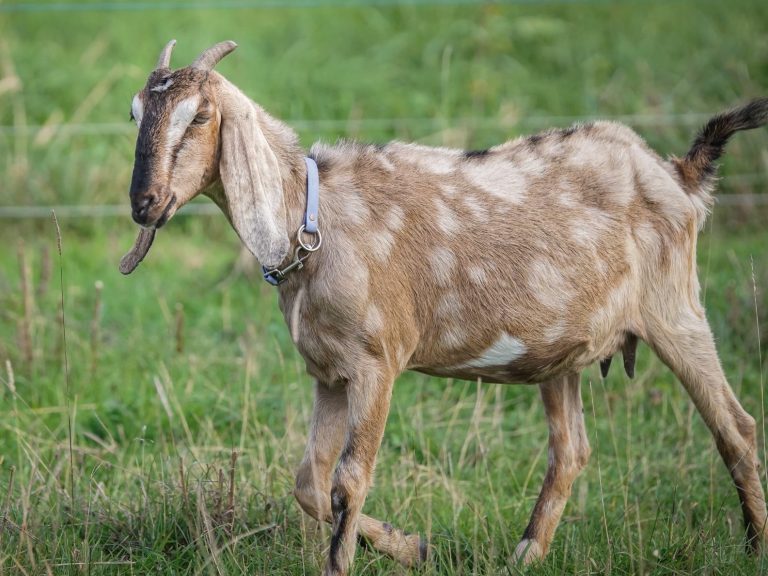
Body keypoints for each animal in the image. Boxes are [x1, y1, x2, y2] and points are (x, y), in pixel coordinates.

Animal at [120, 40, 768, 575]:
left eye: (199, 115)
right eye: (135, 114)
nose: (144, 202)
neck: (312, 219)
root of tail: (679, 175)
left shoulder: (376, 362)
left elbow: (348, 482)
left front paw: (353, 560)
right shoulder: (328, 372)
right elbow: (310, 483)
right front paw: (414, 547)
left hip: (675, 308)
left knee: (735, 426)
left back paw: (753, 547)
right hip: (560, 352)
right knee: (571, 450)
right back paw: (524, 555)